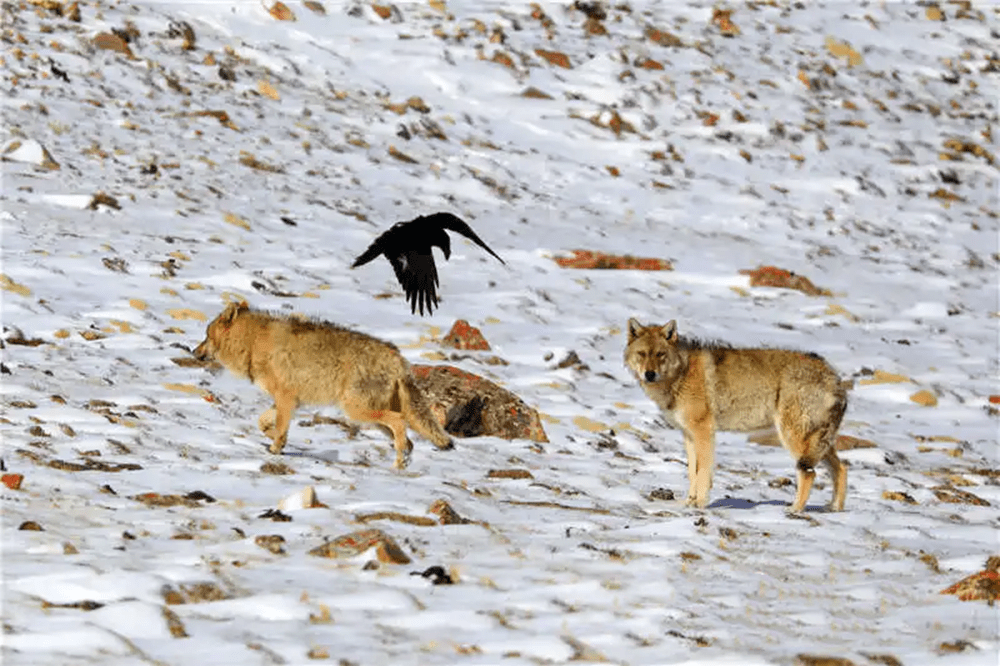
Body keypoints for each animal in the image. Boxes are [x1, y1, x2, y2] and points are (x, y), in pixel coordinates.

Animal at [192, 300, 458, 466]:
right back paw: (403, 463)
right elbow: (263, 423)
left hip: (357, 411)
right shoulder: (290, 401)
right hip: (371, 419)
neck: (254, 343)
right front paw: (273, 438)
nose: (193, 351)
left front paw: (276, 449)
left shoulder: (286, 398)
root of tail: (399, 360)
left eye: (206, 336)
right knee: (408, 440)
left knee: (400, 424)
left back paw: (398, 463)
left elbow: (278, 428)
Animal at [620, 320, 848, 510]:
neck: (681, 374)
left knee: (810, 474)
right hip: (817, 443)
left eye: (660, 354)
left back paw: (794, 510)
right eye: (642, 354)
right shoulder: (688, 435)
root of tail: (835, 378)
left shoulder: (704, 432)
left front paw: (700, 504)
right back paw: (834, 509)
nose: (649, 374)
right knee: (841, 468)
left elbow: (702, 471)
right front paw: (689, 502)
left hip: (793, 438)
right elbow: (692, 472)